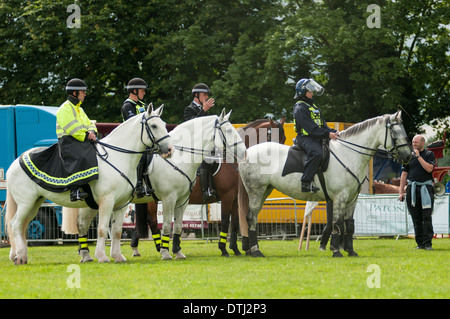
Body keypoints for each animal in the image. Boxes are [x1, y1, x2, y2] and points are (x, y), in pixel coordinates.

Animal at [6, 105, 173, 264]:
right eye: (153, 126)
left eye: (164, 124)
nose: (170, 150)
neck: (118, 157)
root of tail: (14, 163)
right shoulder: (107, 201)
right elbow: (102, 229)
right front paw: (102, 256)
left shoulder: (121, 204)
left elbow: (117, 231)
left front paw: (117, 256)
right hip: (26, 203)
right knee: (15, 225)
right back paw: (20, 257)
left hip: (35, 203)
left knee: (22, 226)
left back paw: (20, 255)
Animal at [76, 110, 246, 262]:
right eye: (229, 130)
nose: (244, 152)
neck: (180, 158)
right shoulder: (174, 197)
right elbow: (169, 225)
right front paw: (224, 249)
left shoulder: (186, 199)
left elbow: (180, 225)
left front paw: (178, 251)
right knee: (150, 221)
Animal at [134, 117, 286, 258]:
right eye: (274, 136)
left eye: (283, 139)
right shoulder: (227, 197)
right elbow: (225, 221)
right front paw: (224, 249)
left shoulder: (235, 200)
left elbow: (235, 223)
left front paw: (235, 249)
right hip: (154, 199)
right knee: (152, 221)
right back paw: (158, 248)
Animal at [241, 112, 414, 258]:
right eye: (395, 133)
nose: (408, 156)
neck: (349, 153)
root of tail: (246, 153)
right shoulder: (339, 197)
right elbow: (337, 224)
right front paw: (336, 251)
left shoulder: (352, 199)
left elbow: (349, 225)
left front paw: (350, 251)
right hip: (256, 191)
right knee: (251, 218)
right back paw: (255, 251)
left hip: (265, 191)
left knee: (252, 218)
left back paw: (252, 249)